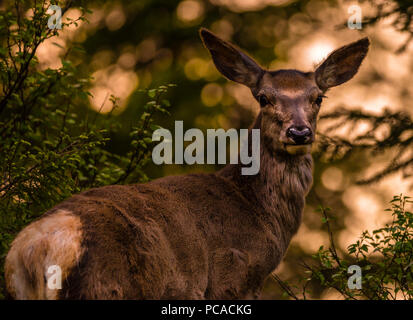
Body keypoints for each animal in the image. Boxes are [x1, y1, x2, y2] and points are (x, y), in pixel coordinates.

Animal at [4, 28, 368, 300]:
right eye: (263, 97)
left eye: (318, 97)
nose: (299, 132)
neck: (257, 213)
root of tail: (36, 250)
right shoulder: (231, 275)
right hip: (107, 286)